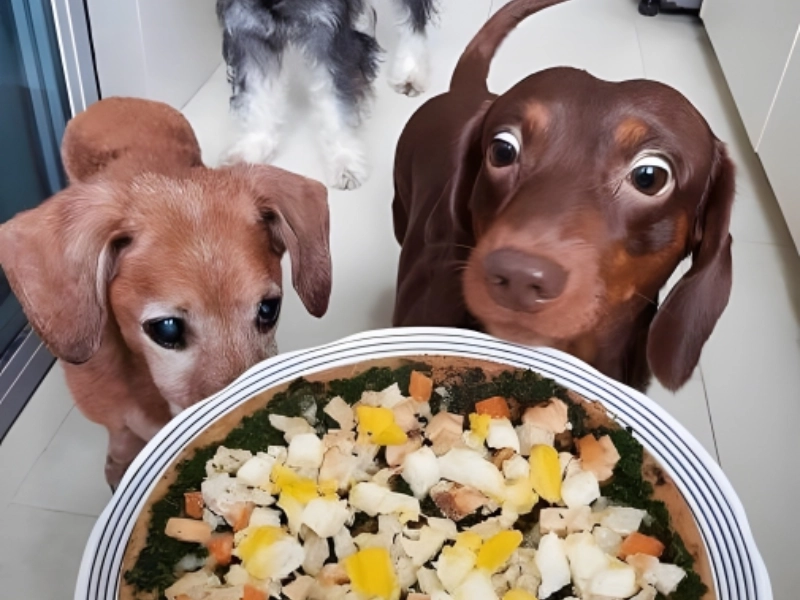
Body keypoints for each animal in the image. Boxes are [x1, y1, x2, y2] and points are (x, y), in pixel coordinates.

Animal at [217, 0, 437, 191]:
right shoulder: (248, 30)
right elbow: (257, 94)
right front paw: (252, 147)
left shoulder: (327, 32)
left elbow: (336, 105)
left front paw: (345, 161)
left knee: (413, 17)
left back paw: (411, 71)